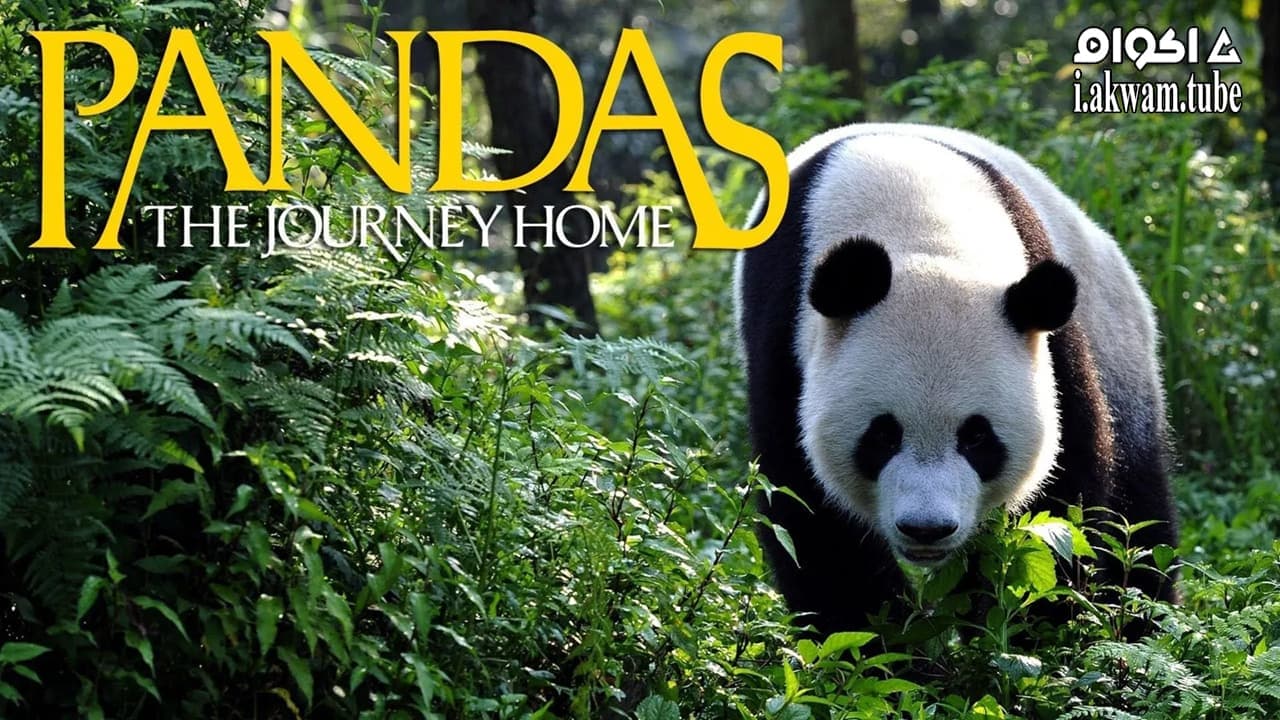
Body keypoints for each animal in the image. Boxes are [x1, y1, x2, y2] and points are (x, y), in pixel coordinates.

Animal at [734, 123, 1179, 634]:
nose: (926, 529)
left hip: (1117, 343)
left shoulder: (1051, 339)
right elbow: (811, 516)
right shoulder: (785, 341)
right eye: (882, 435)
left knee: (1139, 512)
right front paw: (882, 638)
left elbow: (1063, 497)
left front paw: (1025, 631)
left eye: (978, 437)